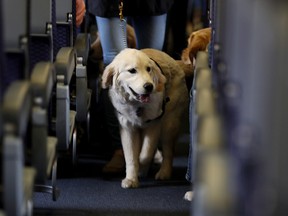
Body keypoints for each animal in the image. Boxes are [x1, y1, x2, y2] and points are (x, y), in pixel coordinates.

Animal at [101, 48, 189, 188]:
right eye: (132, 70)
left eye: (149, 69)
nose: (149, 86)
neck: (137, 105)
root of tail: (174, 61)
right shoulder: (127, 128)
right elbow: (131, 156)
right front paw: (131, 179)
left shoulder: (154, 124)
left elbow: (146, 153)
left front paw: (142, 166)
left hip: (169, 124)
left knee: (168, 152)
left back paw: (164, 172)